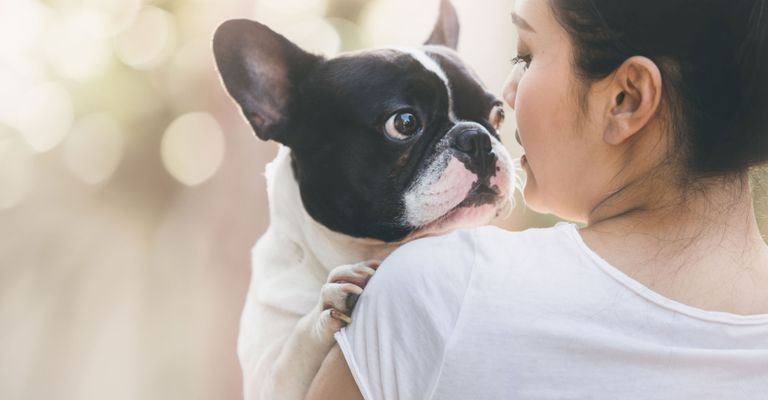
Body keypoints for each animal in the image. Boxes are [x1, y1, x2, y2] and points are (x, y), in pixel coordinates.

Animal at [213, 1, 520, 398]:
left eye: (498, 115)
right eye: (404, 123)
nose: (478, 138)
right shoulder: (266, 379)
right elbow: (291, 356)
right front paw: (324, 306)